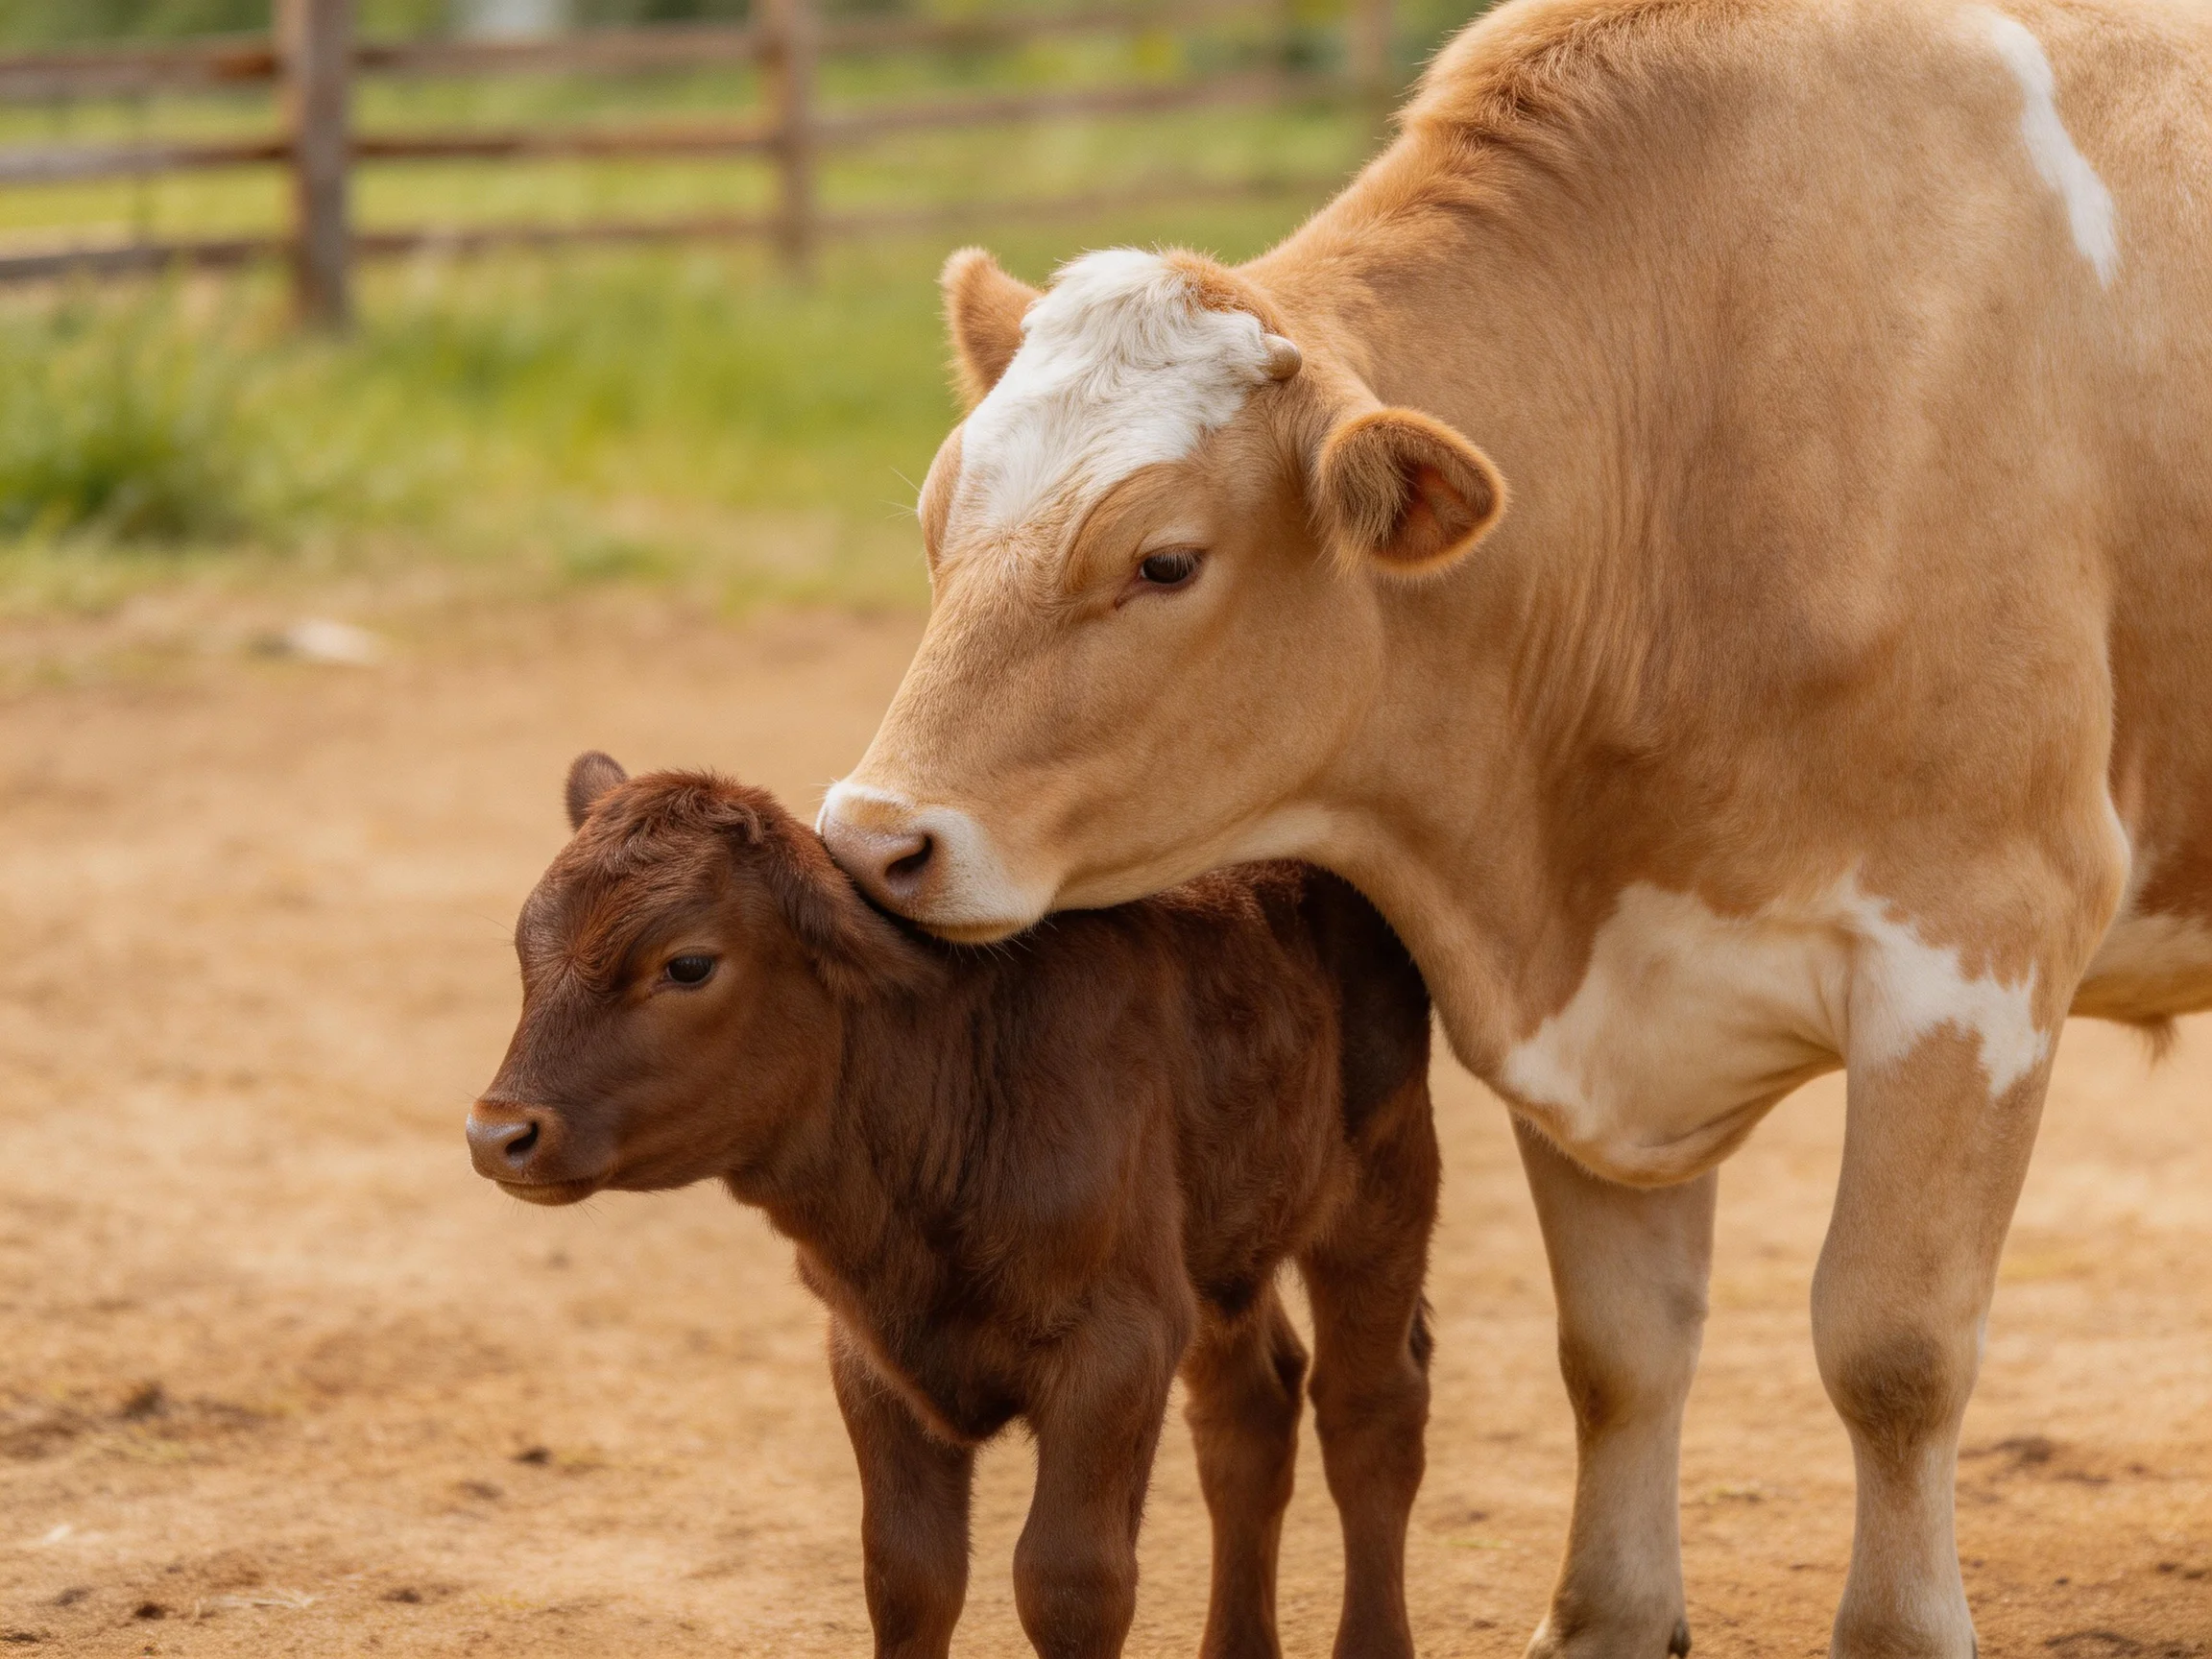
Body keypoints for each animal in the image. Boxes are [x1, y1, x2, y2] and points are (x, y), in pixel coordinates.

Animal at [468, 753, 1440, 1659]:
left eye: (690, 964)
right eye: (523, 950)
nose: (496, 1132)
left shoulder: (1118, 1348)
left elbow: (1071, 1584)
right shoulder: (867, 1353)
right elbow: (908, 1573)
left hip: (1382, 1183)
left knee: (1370, 1412)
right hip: (1224, 1240)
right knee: (1250, 1414)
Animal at [812, 0, 2212, 1653]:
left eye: (1164, 561)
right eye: (934, 525)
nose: (874, 840)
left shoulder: (1977, 947)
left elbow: (1894, 1347)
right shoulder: (1585, 994)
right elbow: (1617, 1347)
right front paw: (1608, 1609)